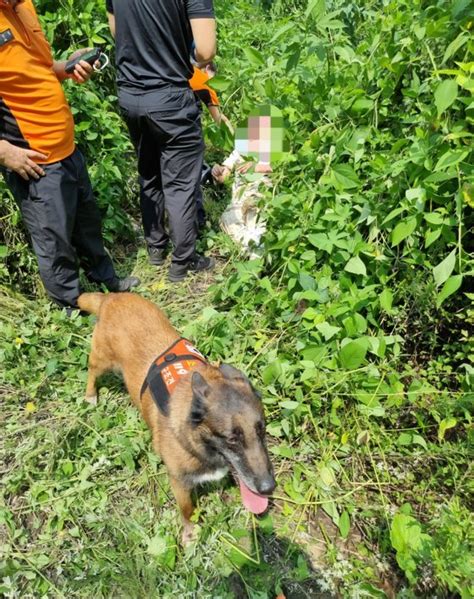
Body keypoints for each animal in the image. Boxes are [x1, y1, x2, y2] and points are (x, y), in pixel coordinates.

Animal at [78, 292, 276, 548]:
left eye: (261, 431)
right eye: (232, 439)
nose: (269, 488)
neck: (196, 438)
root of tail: (111, 297)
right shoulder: (179, 483)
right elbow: (187, 509)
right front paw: (190, 532)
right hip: (102, 360)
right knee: (92, 371)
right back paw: (90, 394)